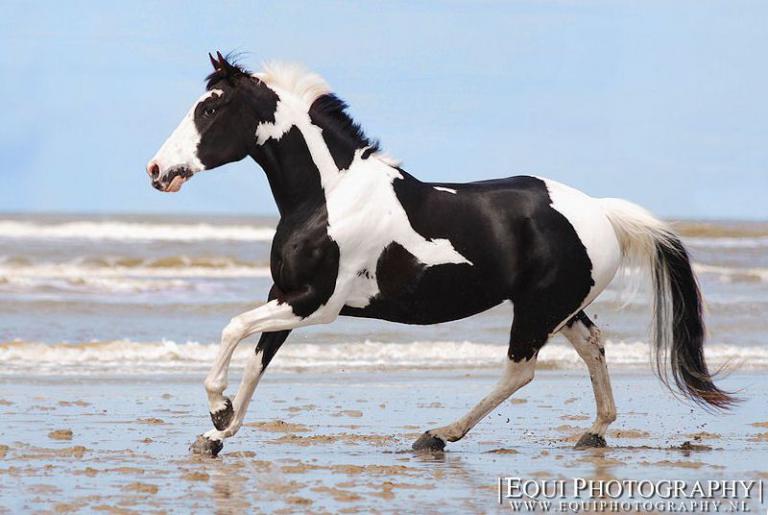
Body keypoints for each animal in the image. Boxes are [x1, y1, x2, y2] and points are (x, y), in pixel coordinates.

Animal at [146, 52, 733, 457]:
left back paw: (437, 435)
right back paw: (593, 431)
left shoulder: (315, 303)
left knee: (520, 372)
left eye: (211, 107)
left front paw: (216, 411)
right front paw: (216, 433)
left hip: (537, 311)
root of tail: (602, 213)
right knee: (593, 347)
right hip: (560, 308)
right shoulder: (285, 294)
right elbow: (256, 361)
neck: (329, 197)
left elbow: (233, 329)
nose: (156, 171)